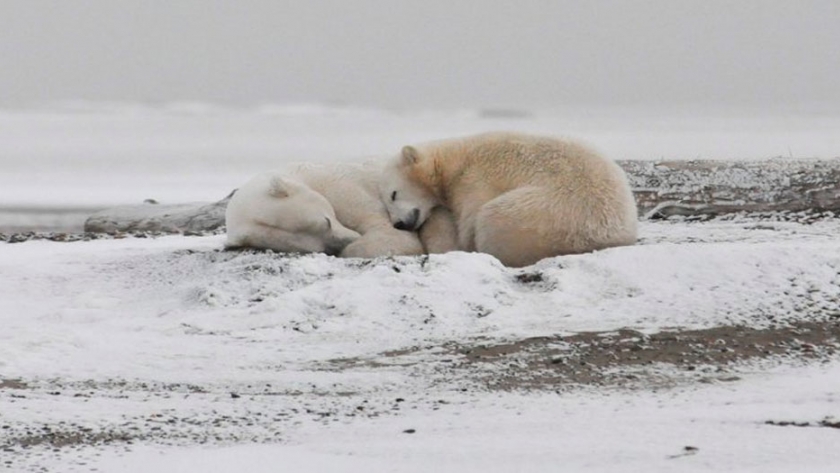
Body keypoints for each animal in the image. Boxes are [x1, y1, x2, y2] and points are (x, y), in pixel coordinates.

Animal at [380, 131, 636, 268]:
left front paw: (459, 243)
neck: (455, 160)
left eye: (393, 194)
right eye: (386, 201)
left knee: (491, 217)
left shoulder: (475, 179)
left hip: (545, 211)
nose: (399, 224)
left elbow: (468, 223)